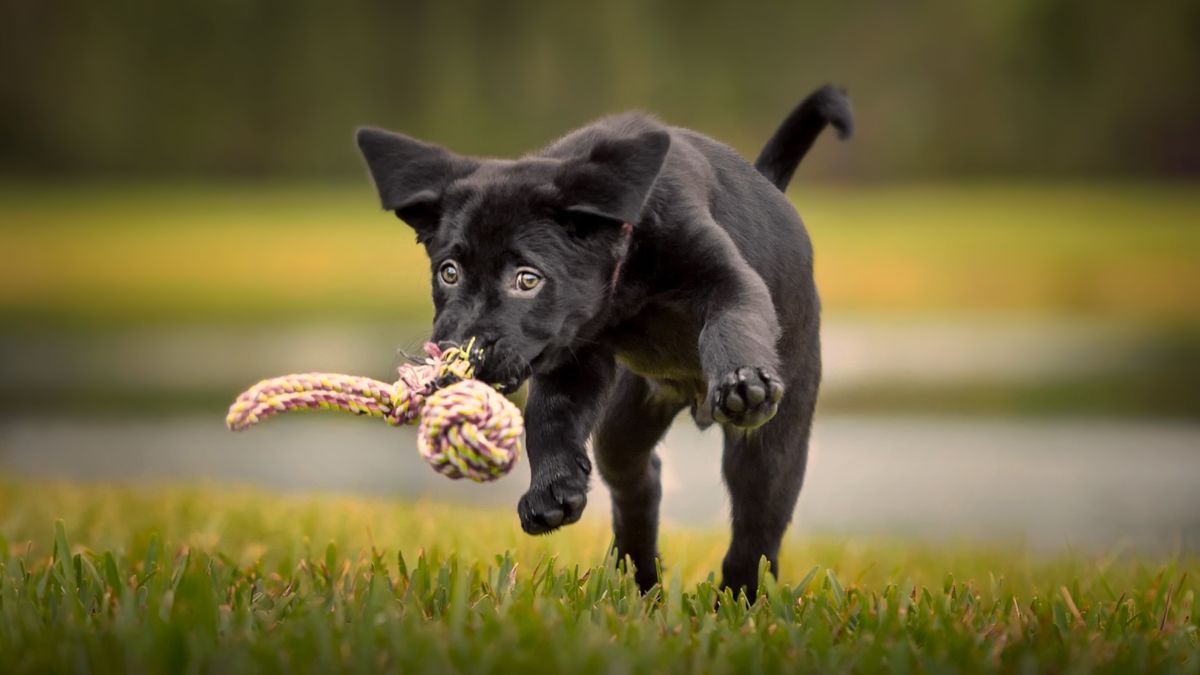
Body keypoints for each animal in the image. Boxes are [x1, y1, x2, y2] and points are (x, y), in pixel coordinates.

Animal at [355, 86, 854, 595]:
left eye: (528, 279)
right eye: (449, 272)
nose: (458, 353)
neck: (624, 280)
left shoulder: (726, 280)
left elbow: (732, 319)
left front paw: (741, 380)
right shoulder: (571, 355)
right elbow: (548, 417)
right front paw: (552, 490)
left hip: (771, 447)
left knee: (757, 529)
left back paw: (737, 599)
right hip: (624, 419)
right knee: (640, 481)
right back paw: (641, 583)